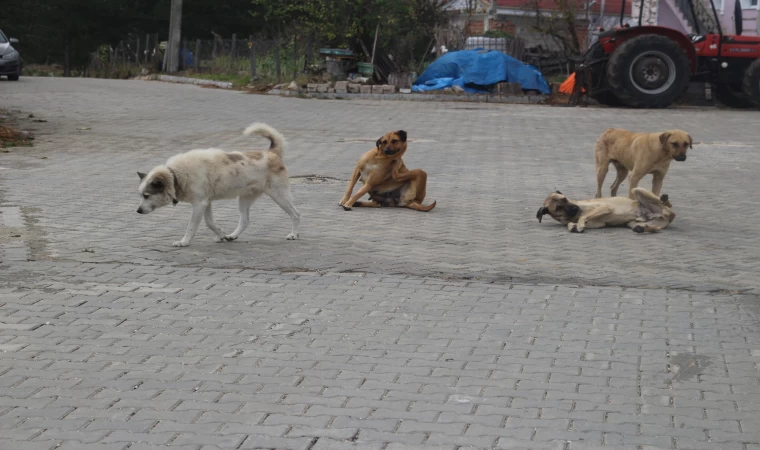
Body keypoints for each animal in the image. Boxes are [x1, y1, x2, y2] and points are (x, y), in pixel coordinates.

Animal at [137, 123, 300, 246]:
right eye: (141, 196)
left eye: (146, 195)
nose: (138, 211)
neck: (176, 175)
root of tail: (272, 152)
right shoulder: (206, 203)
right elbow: (210, 223)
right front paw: (222, 235)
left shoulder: (199, 204)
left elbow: (191, 226)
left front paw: (184, 242)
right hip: (245, 199)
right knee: (245, 220)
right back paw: (232, 235)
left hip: (280, 196)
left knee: (296, 214)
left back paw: (294, 234)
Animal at [536, 187, 676, 234]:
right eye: (558, 207)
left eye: (564, 199)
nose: (575, 208)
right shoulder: (598, 224)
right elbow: (571, 223)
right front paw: (573, 226)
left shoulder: (605, 207)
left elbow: (584, 217)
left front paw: (579, 224)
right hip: (633, 223)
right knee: (656, 227)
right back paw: (642, 228)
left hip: (637, 189)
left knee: (668, 210)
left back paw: (663, 199)